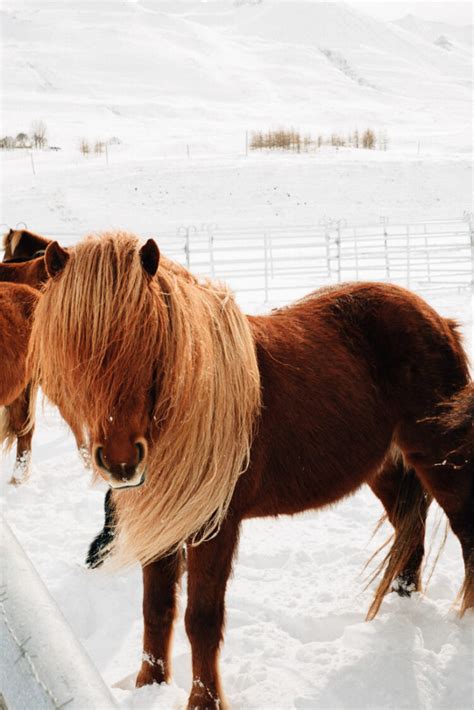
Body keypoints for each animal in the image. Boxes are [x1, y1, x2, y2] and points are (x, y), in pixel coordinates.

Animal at [29, 232, 474, 708]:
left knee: (465, 535)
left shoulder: (215, 528)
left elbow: (201, 619)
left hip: (442, 463)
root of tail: (437, 319)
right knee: (411, 538)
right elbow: (156, 610)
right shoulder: (163, 527)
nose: (121, 461)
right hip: (386, 469)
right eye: (72, 351)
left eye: (149, 345)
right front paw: (149, 687)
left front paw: (203, 701)